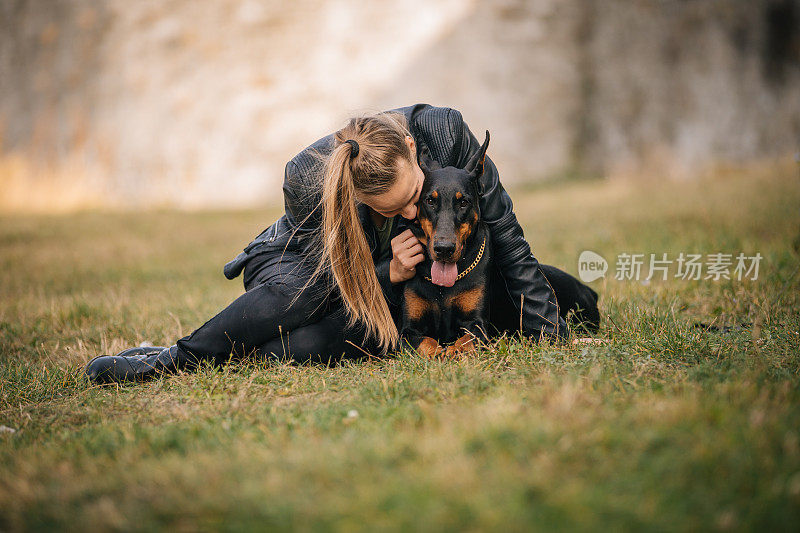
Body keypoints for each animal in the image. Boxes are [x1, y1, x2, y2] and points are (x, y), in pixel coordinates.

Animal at [400, 129, 494, 358]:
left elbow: (466, 341)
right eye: (430, 200)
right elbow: (426, 341)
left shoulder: (478, 325)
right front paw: (438, 353)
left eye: (463, 202)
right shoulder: (408, 330)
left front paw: (453, 351)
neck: (443, 289)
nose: (444, 249)